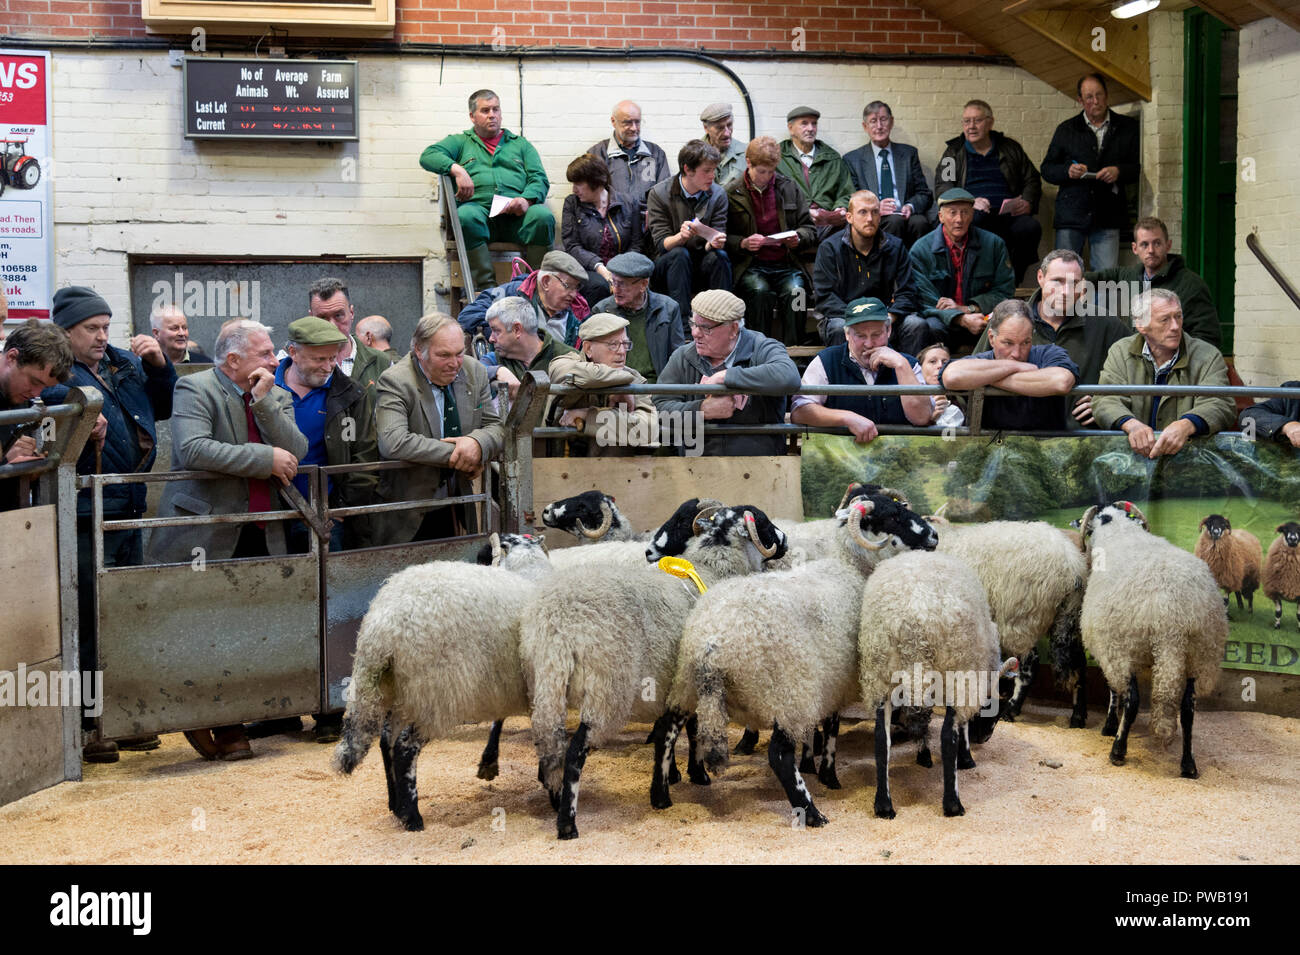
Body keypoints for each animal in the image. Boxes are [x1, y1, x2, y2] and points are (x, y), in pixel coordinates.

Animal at [332, 535, 551, 831]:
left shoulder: (505, 682)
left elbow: (502, 720)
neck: (530, 572)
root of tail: (381, 627)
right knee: (404, 747)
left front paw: (490, 762)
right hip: (434, 693)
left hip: (400, 690)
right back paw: (412, 817)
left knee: (386, 740)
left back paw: (395, 806)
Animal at [520, 504, 785, 841]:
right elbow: (674, 733)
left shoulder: (673, 678)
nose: (785, 539)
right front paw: (666, 792)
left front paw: (682, 775)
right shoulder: (687, 677)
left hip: (544, 679)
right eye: (762, 521)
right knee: (575, 751)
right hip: (607, 687)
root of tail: (557, 622)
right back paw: (567, 823)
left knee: (547, 742)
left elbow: (680, 728)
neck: (711, 570)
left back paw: (554, 798)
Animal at [660, 493, 935, 831]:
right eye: (894, 516)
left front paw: (813, 762)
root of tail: (713, 642)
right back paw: (812, 812)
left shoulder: (824, 678)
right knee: (778, 755)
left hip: (686, 682)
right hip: (786, 691)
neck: (850, 567)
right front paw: (828, 774)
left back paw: (660, 796)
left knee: (666, 729)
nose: (934, 536)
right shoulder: (833, 678)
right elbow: (830, 726)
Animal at [863, 553, 1013, 821]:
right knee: (946, 737)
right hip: (955, 668)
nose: (985, 738)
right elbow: (961, 725)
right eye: (1001, 703)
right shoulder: (968, 678)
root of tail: (914, 611)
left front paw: (923, 755)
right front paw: (967, 758)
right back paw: (953, 804)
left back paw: (884, 805)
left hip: (880, 673)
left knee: (881, 739)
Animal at [1076, 501, 1227, 779]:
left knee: (1133, 701)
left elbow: (1114, 692)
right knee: (1188, 710)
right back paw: (1188, 765)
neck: (1119, 530)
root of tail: (1172, 621)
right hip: (1200, 655)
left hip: (1126, 649)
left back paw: (1118, 751)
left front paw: (1110, 726)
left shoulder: (1110, 648)